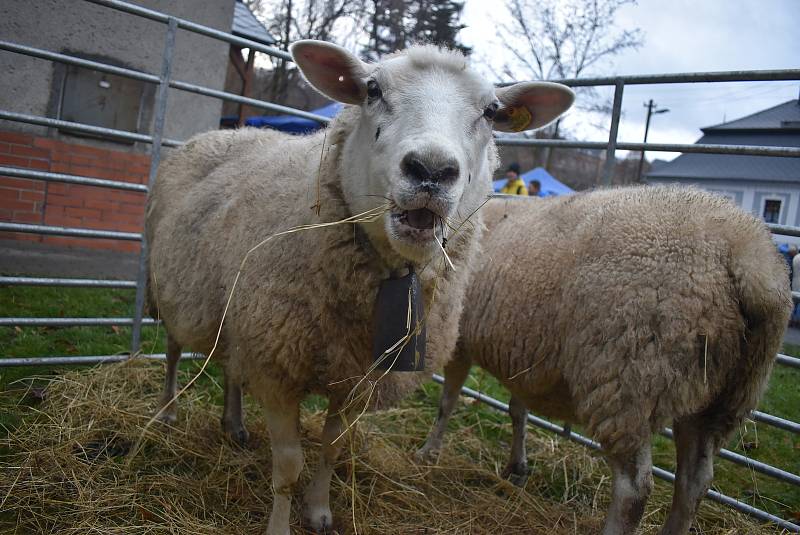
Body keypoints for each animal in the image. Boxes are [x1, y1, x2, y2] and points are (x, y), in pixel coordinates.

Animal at [145, 40, 576, 535]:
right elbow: (288, 465)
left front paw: (319, 511)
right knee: (174, 350)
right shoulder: (277, 367)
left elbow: (332, 447)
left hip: (235, 315)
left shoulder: (355, 378)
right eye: (372, 89)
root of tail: (226, 133)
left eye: (490, 111)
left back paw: (233, 425)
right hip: (168, 284)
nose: (431, 169)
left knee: (231, 366)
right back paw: (167, 411)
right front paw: (281, 523)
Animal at [416, 187, 792, 535]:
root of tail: (746, 255)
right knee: (694, 483)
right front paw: (516, 467)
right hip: (725, 394)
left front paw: (429, 451)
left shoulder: (460, 339)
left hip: (627, 377)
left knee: (634, 488)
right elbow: (517, 411)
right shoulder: (523, 356)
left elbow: (447, 402)